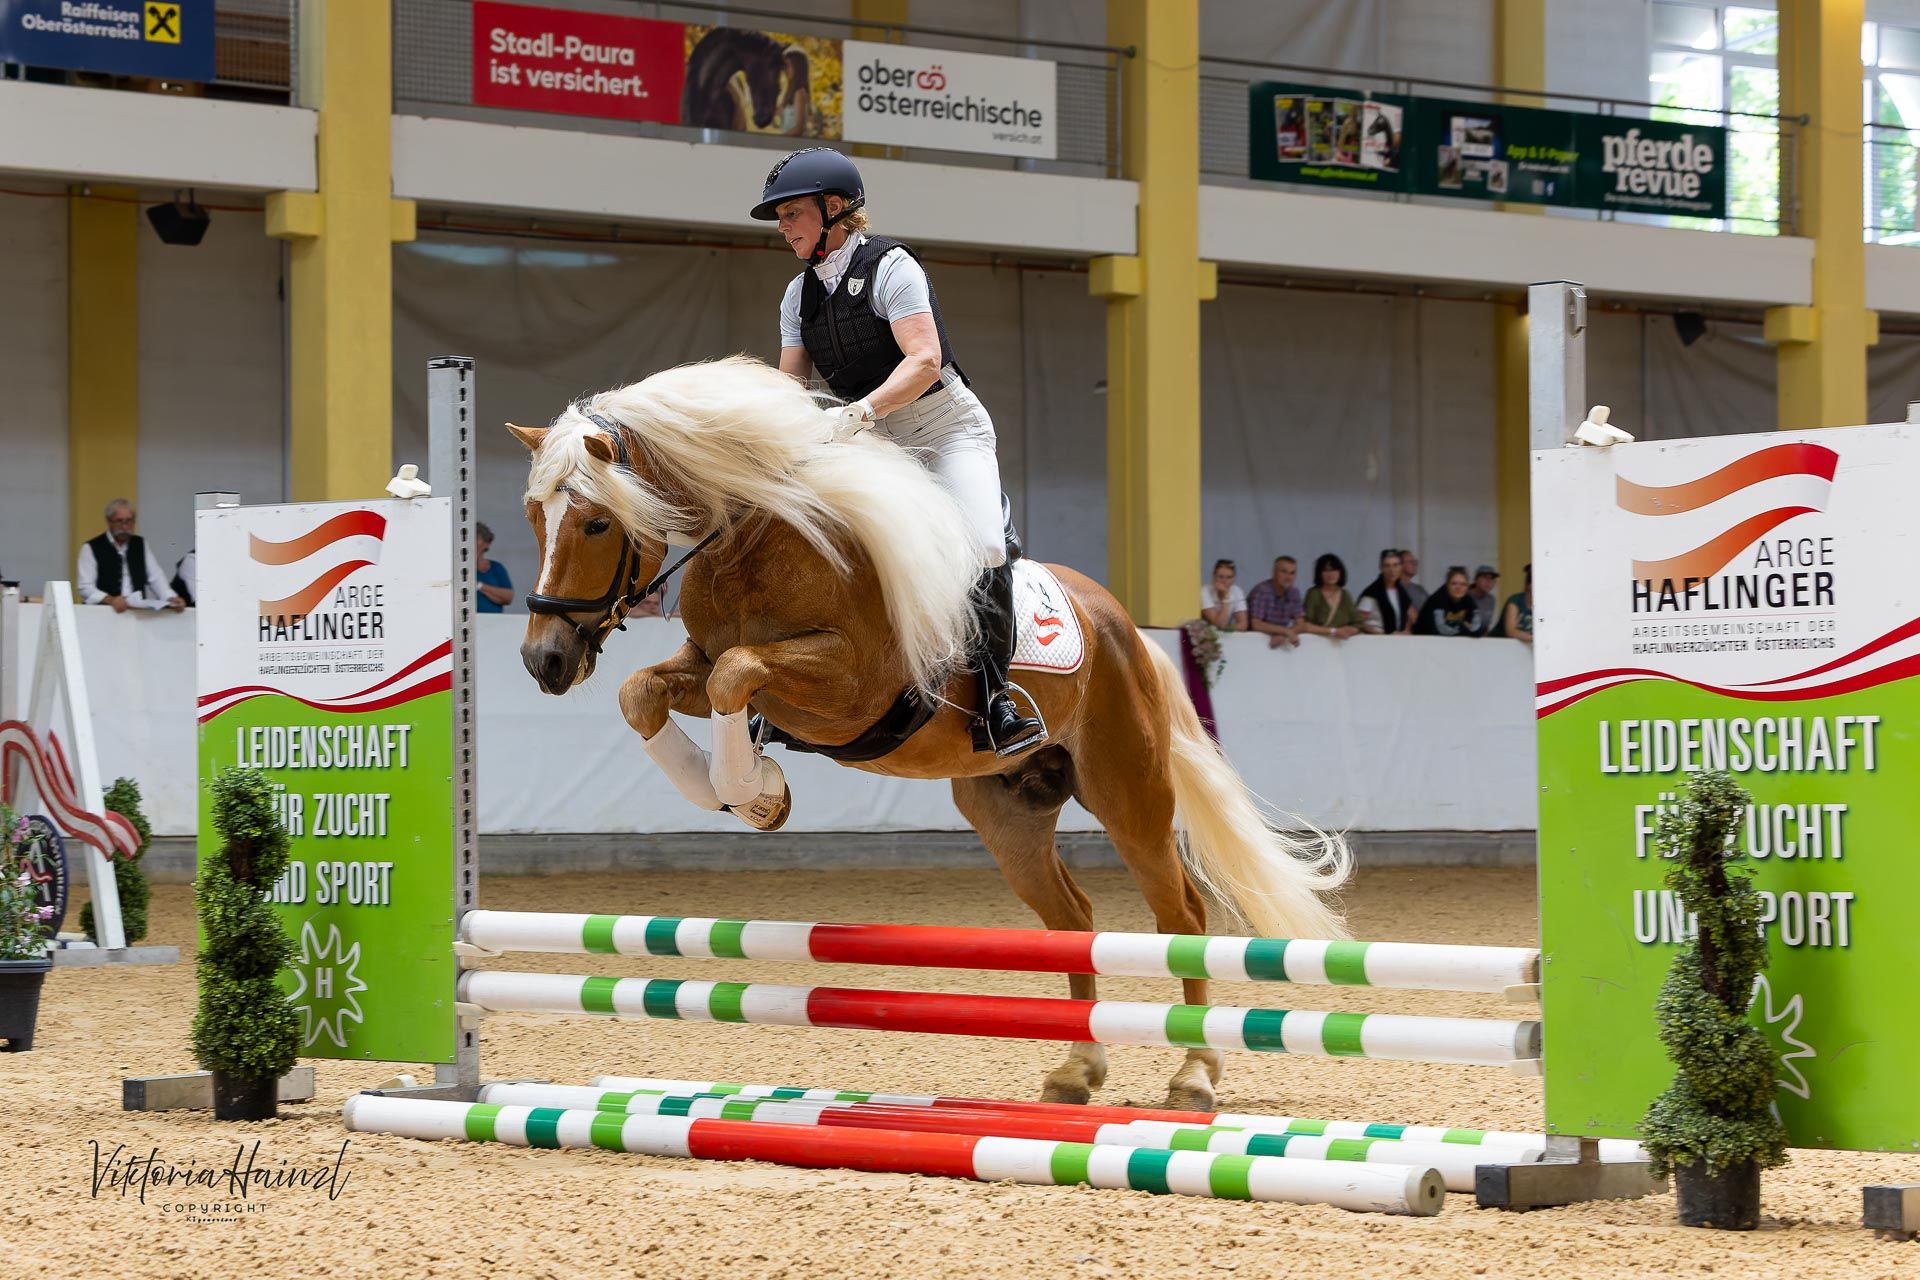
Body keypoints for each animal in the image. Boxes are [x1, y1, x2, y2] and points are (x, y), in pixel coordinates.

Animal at [510, 356, 1351, 1111]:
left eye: (595, 522)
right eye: (533, 518)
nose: (542, 661)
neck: (757, 540)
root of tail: (1126, 628)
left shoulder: (846, 690)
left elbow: (735, 676)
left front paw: (755, 793)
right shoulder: (703, 662)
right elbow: (647, 692)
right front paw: (754, 793)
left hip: (1129, 793)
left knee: (1181, 918)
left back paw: (1195, 1075)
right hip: (1008, 810)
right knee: (1072, 919)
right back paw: (1076, 1070)